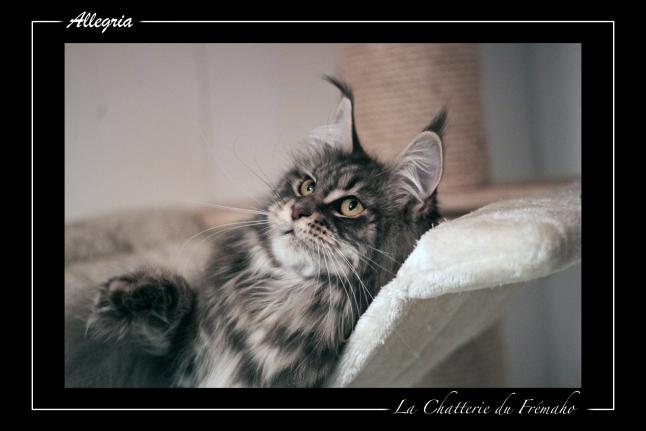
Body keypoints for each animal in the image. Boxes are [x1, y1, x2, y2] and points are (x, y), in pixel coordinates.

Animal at [65, 77, 446, 388]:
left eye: (350, 206)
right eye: (307, 187)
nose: (298, 210)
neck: (282, 294)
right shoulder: (169, 363)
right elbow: (174, 309)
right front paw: (129, 294)